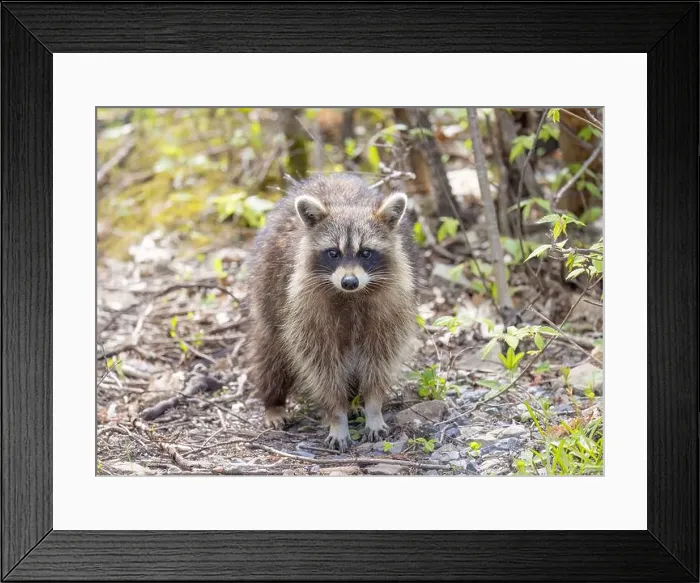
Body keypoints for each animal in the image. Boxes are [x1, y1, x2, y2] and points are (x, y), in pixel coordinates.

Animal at [246, 173, 418, 452]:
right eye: (333, 253)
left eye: (366, 252)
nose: (349, 282)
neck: (351, 297)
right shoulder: (305, 310)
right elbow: (321, 366)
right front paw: (337, 415)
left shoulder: (390, 308)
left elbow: (379, 358)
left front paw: (372, 406)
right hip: (268, 288)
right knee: (271, 352)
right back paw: (274, 401)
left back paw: (355, 402)